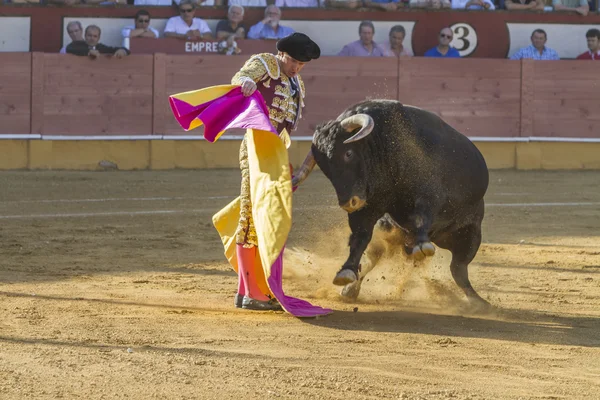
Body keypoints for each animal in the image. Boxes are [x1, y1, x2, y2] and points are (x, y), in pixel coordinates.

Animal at [292, 98, 492, 308]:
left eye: (348, 153)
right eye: (323, 166)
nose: (349, 202)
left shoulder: (429, 195)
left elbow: (421, 217)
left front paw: (423, 245)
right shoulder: (367, 208)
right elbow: (360, 238)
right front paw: (346, 271)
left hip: (471, 233)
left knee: (458, 268)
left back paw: (478, 302)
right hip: (390, 230)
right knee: (376, 257)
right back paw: (350, 289)